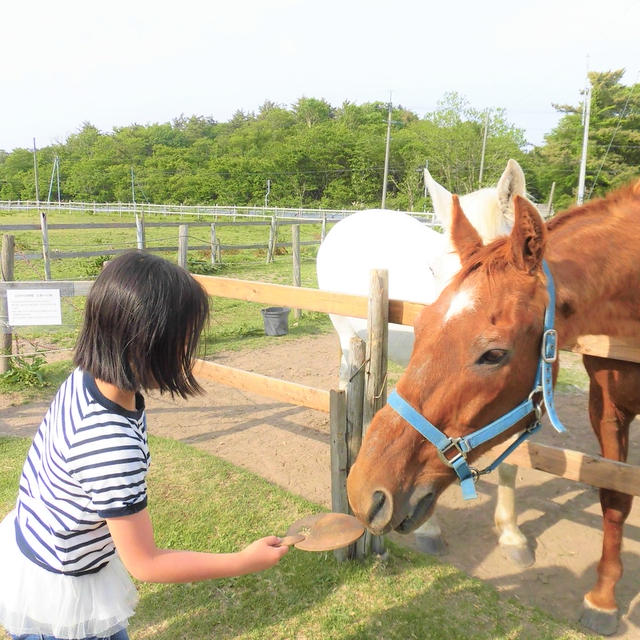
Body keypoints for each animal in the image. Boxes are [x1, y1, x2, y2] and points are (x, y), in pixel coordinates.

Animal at [348, 180, 640, 636]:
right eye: (421, 325)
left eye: (494, 354)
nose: (364, 492)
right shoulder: (608, 406)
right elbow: (614, 493)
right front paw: (604, 600)